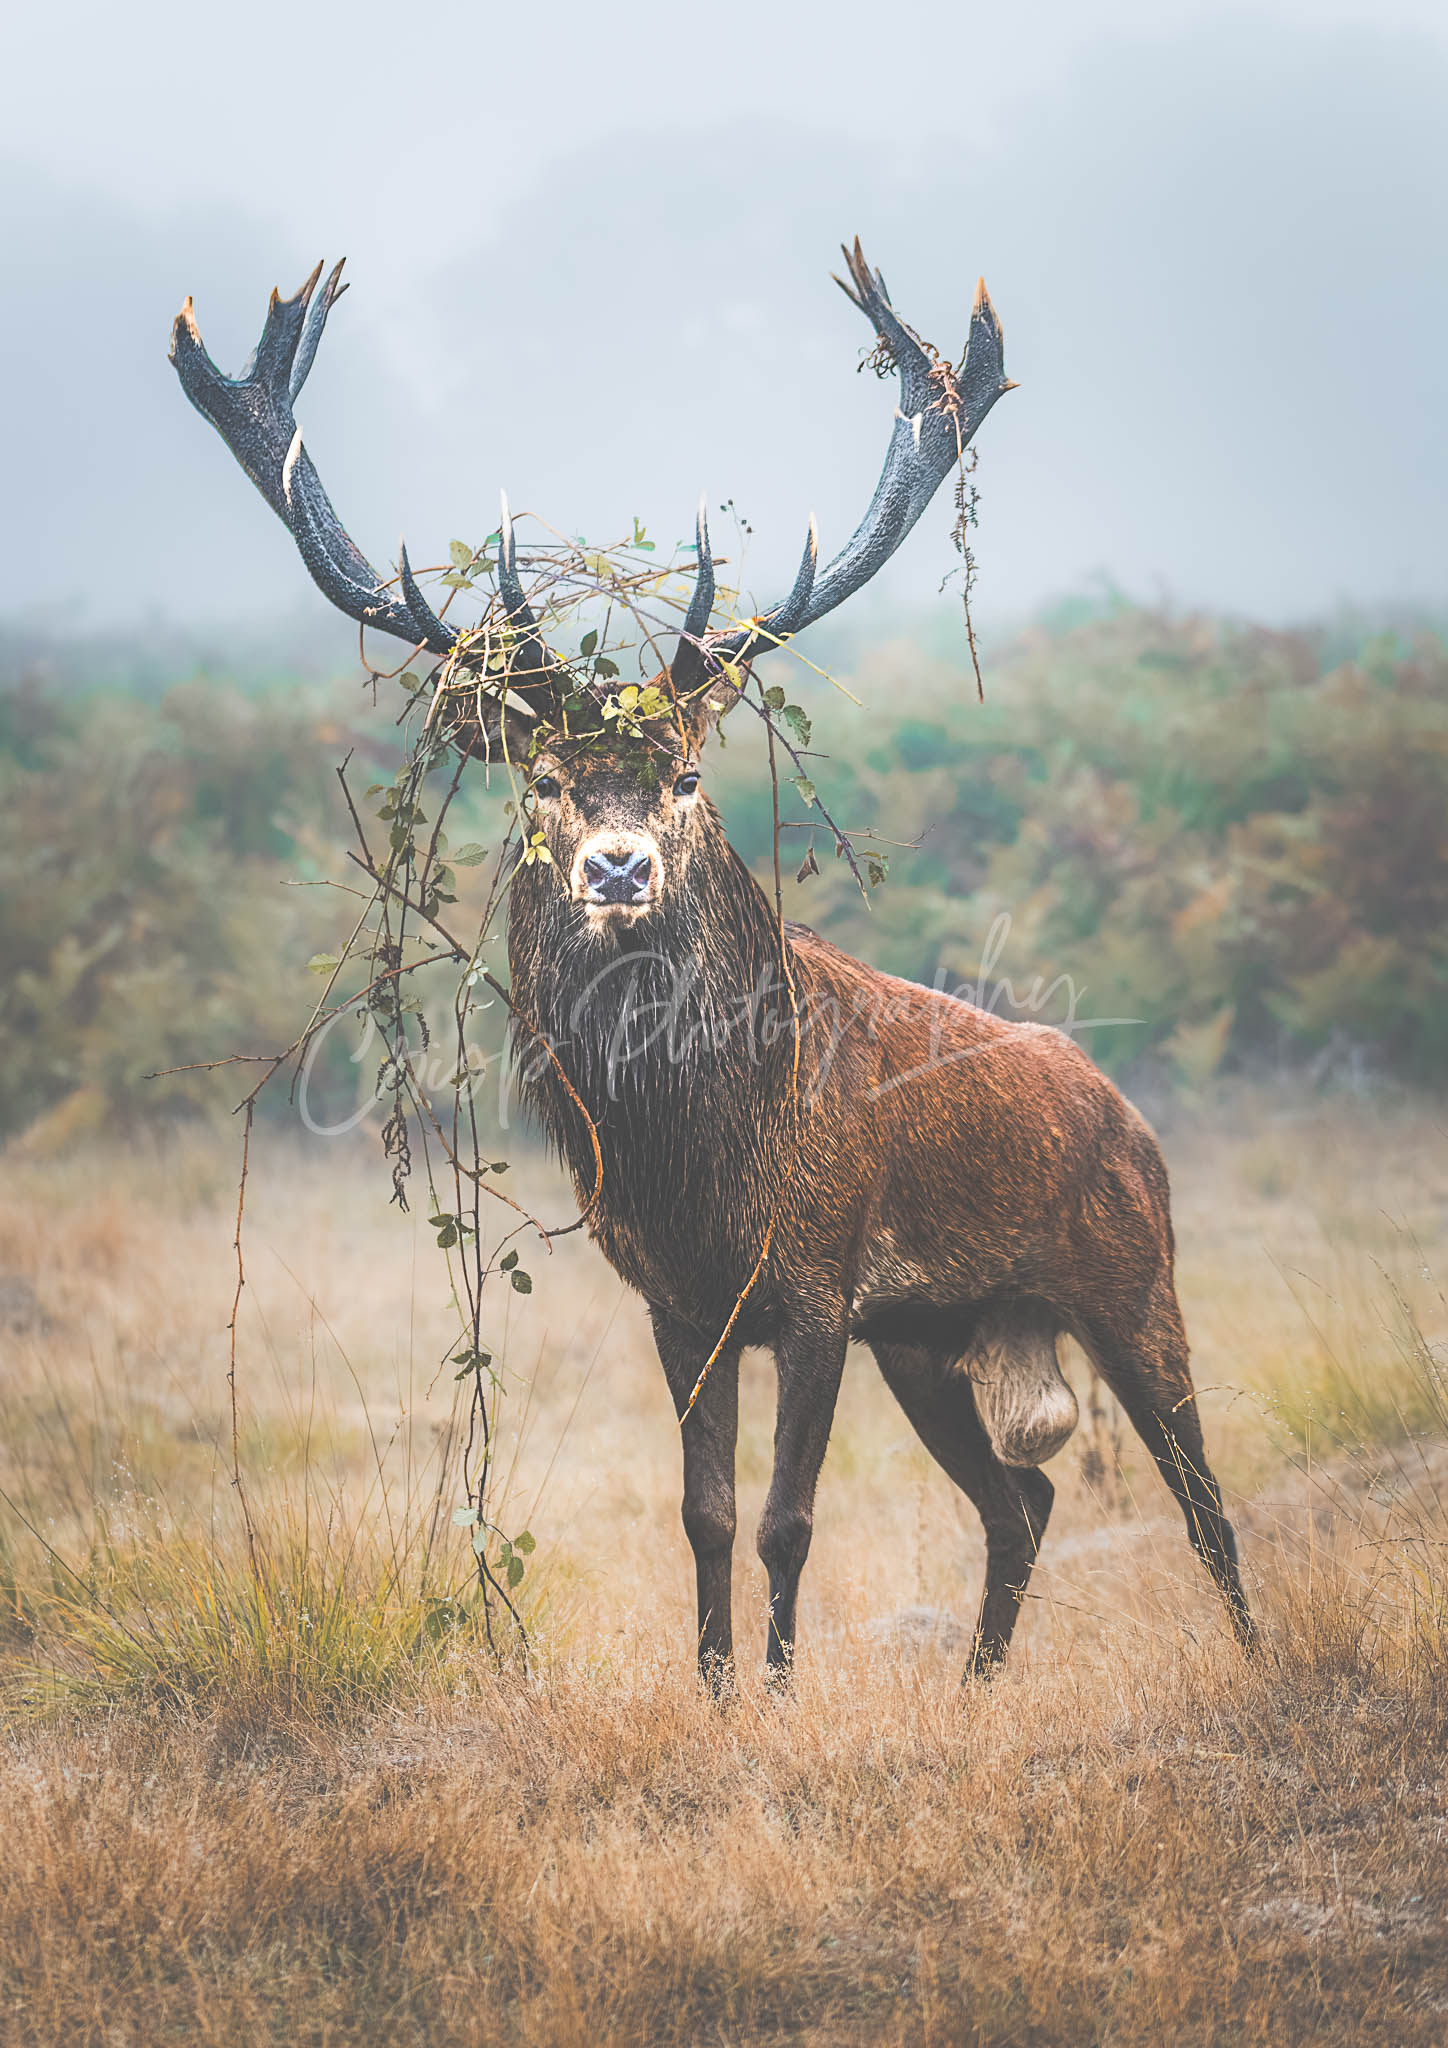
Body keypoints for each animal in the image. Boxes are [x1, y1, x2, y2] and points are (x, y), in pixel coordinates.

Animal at [171, 242, 1254, 1689]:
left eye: (685, 773)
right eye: (547, 781)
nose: (618, 866)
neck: (702, 1165)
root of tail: (1126, 1114)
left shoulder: (816, 1283)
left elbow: (789, 1520)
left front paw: (785, 1699)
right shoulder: (681, 1305)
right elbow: (704, 1514)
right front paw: (718, 1692)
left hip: (1133, 1277)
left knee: (1202, 1502)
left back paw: (1252, 1663)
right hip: (931, 1339)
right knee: (1023, 1497)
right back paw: (976, 1689)